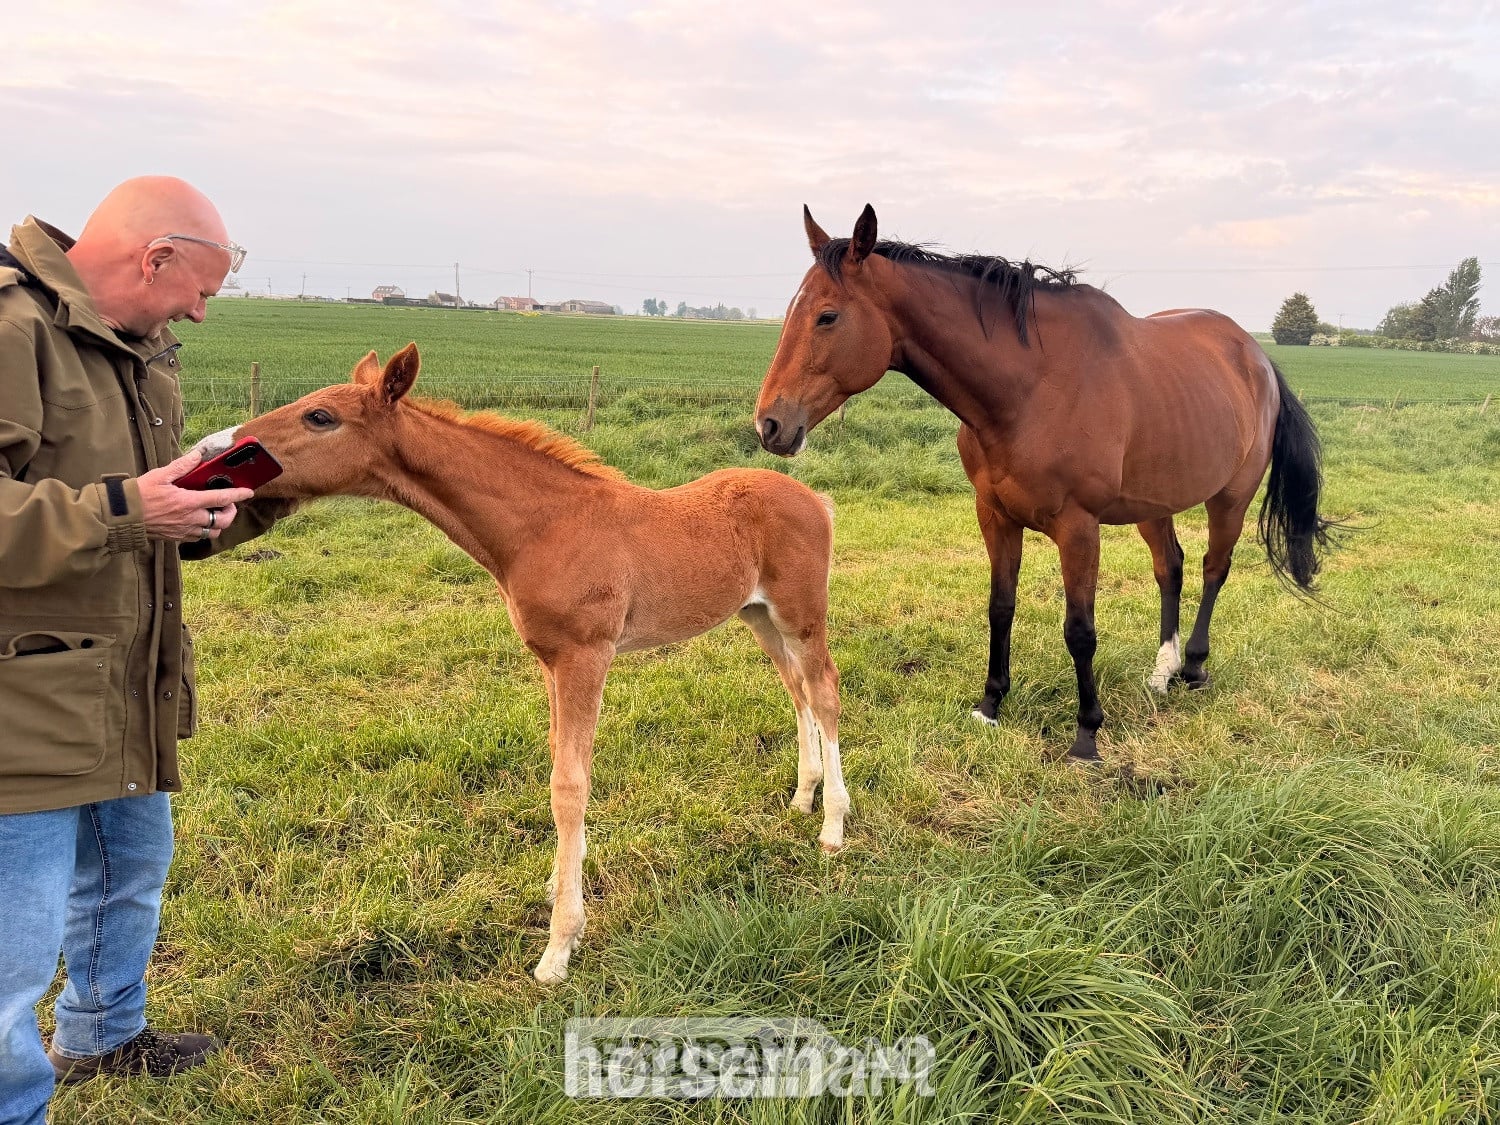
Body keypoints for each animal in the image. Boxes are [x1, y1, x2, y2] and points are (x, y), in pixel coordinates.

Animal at [205, 344, 848, 983]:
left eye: (320, 417)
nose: (213, 449)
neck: (543, 527)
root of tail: (815, 498)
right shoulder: (549, 662)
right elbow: (557, 765)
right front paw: (561, 884)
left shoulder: (585, 656)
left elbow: (569, 784)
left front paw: (560, 946)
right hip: (758, 615)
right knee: (796, 690)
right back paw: (802, 796)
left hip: (801, 614)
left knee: (824, 692)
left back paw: (833, 827)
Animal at [755, 205, 1335, 763]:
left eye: (827, 316)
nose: (770, 424)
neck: (1031, 388)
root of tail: (1257, 357)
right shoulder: (995, 516)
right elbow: (1000, 606)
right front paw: (990, 703)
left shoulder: (1079, 529)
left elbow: (1080, 631)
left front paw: (1087, 734)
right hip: (1155, 503)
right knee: (1170, 568)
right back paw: (1162, 672)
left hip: (1230, 497)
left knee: (1215, 569)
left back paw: (1192, 668)